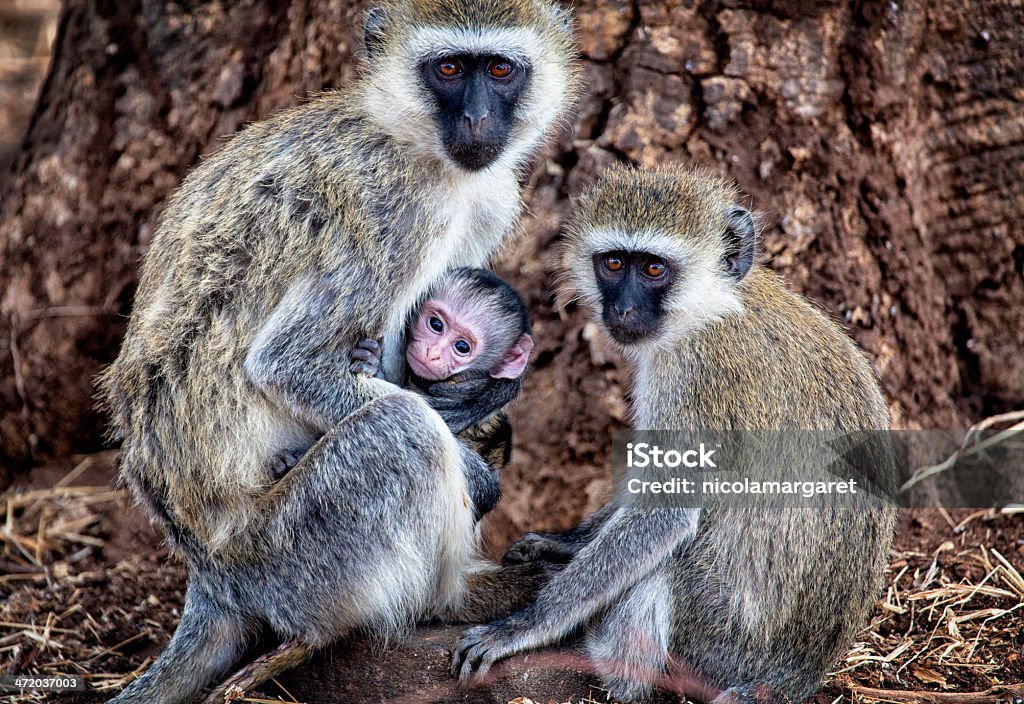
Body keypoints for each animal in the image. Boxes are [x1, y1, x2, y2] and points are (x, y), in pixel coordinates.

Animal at [99, 2, 581, 699]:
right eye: (448, 69)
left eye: (499, 68)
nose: (478, 120)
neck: (410, 138)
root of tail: (211, 575)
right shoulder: (394, 208)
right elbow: (289, 362)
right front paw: (475, 464)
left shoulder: (485, 202)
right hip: (293, 551)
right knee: (400, 429)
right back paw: (458, 596)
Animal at [454, 166, 897, 704]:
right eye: (614, 262)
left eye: (653, 269)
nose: (622, 310)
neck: (713, 307)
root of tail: (795, 676)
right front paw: (563, 543)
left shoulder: (695, 376)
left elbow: (665, 511)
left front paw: (525, 625)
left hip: (720, 639)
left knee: (660, 575)